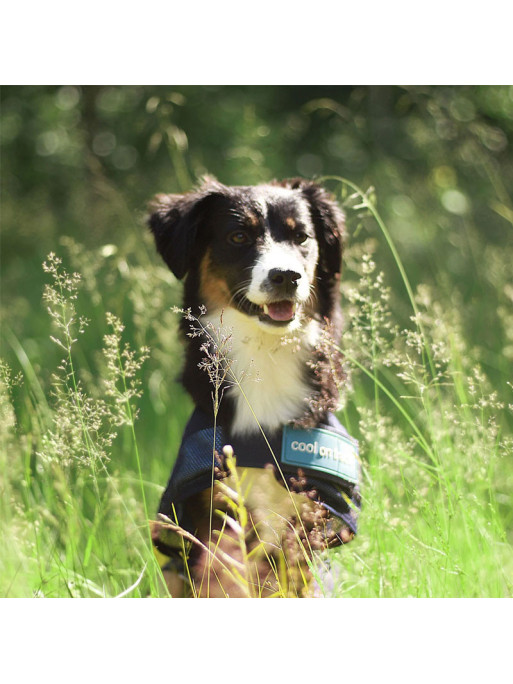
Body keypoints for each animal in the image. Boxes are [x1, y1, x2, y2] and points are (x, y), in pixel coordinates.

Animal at [146, 179, 358, 596]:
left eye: (301, 236)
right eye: (239, 236)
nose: (286, 276)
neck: (266, 354)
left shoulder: (308, 516)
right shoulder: (211, 510)